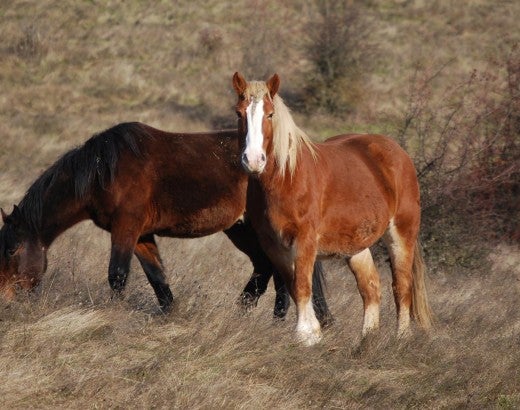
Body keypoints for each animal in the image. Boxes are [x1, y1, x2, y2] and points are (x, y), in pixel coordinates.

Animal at [0, 121, 332, 324]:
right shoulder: (141, 235)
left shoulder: (126, 228)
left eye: (11, 250)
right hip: (242, 229)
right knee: (268, 270)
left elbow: (117, 275)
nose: (5, 303)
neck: (102, 170)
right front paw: (171, 315)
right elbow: (158, 279)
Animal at [234, 73, 432, 346]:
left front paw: (305, 335)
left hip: (402, 233)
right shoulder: (272, 245)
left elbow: (302, 286)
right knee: (371, 287)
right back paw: (366, 341)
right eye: (239, 113)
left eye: (270, 114)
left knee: (401, 286)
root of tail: (398, 153)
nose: (252, 160)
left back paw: (400, 339)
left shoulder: (305, 240)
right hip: (356, 246)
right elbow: (293, 286)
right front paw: (313, 334)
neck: (287, 178)